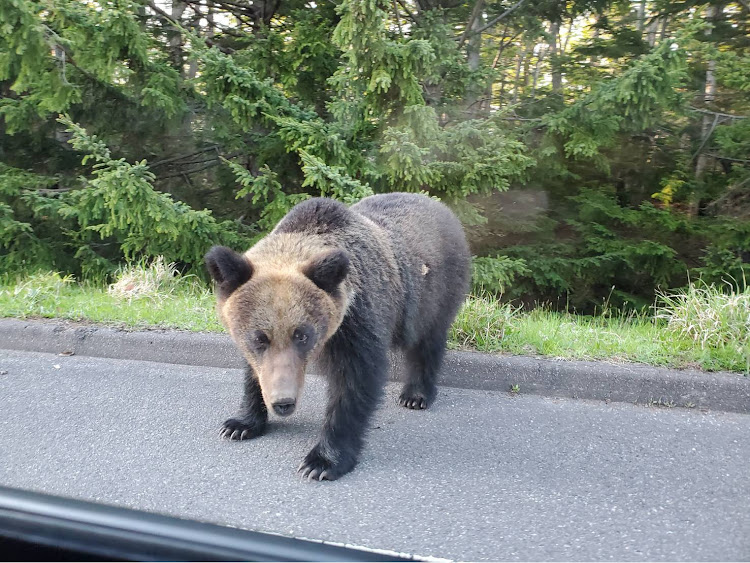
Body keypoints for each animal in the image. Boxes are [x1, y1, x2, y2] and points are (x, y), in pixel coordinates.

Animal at [206, 193, 470, 480]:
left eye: (302, 335)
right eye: (259, 337)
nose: (283, 403)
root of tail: (440, 205)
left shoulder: (357, 323)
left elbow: (353, 384)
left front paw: (322, 461)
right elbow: (255, 371)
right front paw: (240, 424)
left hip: (432, 293)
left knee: (426, 340)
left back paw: (415, 395)